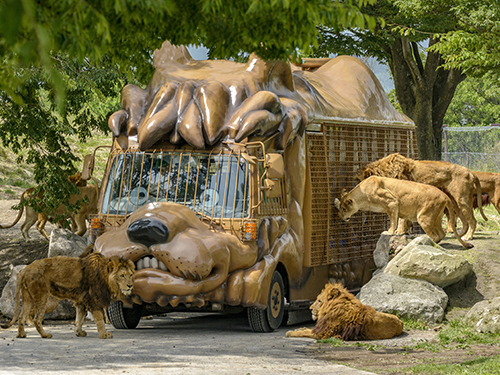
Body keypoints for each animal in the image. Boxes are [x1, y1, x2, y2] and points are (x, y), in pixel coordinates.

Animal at [0, 248, 135, 340]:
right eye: (122, 275)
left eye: (131, 275)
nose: (130, 285)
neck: (105, 276)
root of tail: (25, 269)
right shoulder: (94, 300)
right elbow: (99, 319)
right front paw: (104, 334)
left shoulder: (82, 301)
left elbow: (79, 319)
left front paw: (79, 332)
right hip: (44, 298)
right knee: (36, 319)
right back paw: (45, 335)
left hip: (28, 297)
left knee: (21, 317)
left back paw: (21, 335)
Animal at [336, 176, 472, 250]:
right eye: (340, 209)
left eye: (343, 209)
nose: (340, 216)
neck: (362, 195)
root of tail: (444, 195)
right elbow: (400, 220)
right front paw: (399, 231)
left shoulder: (392, 202)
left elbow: (393, 220)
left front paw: (390, 232)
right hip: (434, 218)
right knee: (441, 233)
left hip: (424, 217)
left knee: (436, 235)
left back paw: (420, 242)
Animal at [358, 153, 486, 239]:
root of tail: (471, 172)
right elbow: (405, 218)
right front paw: (406, 231)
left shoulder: (401, 195)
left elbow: (401, 219)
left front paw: (399, 231)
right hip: (455, 202)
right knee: (465, 221)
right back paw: (458, 235)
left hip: (462, 199)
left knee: (473, 220)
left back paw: (468, 237)